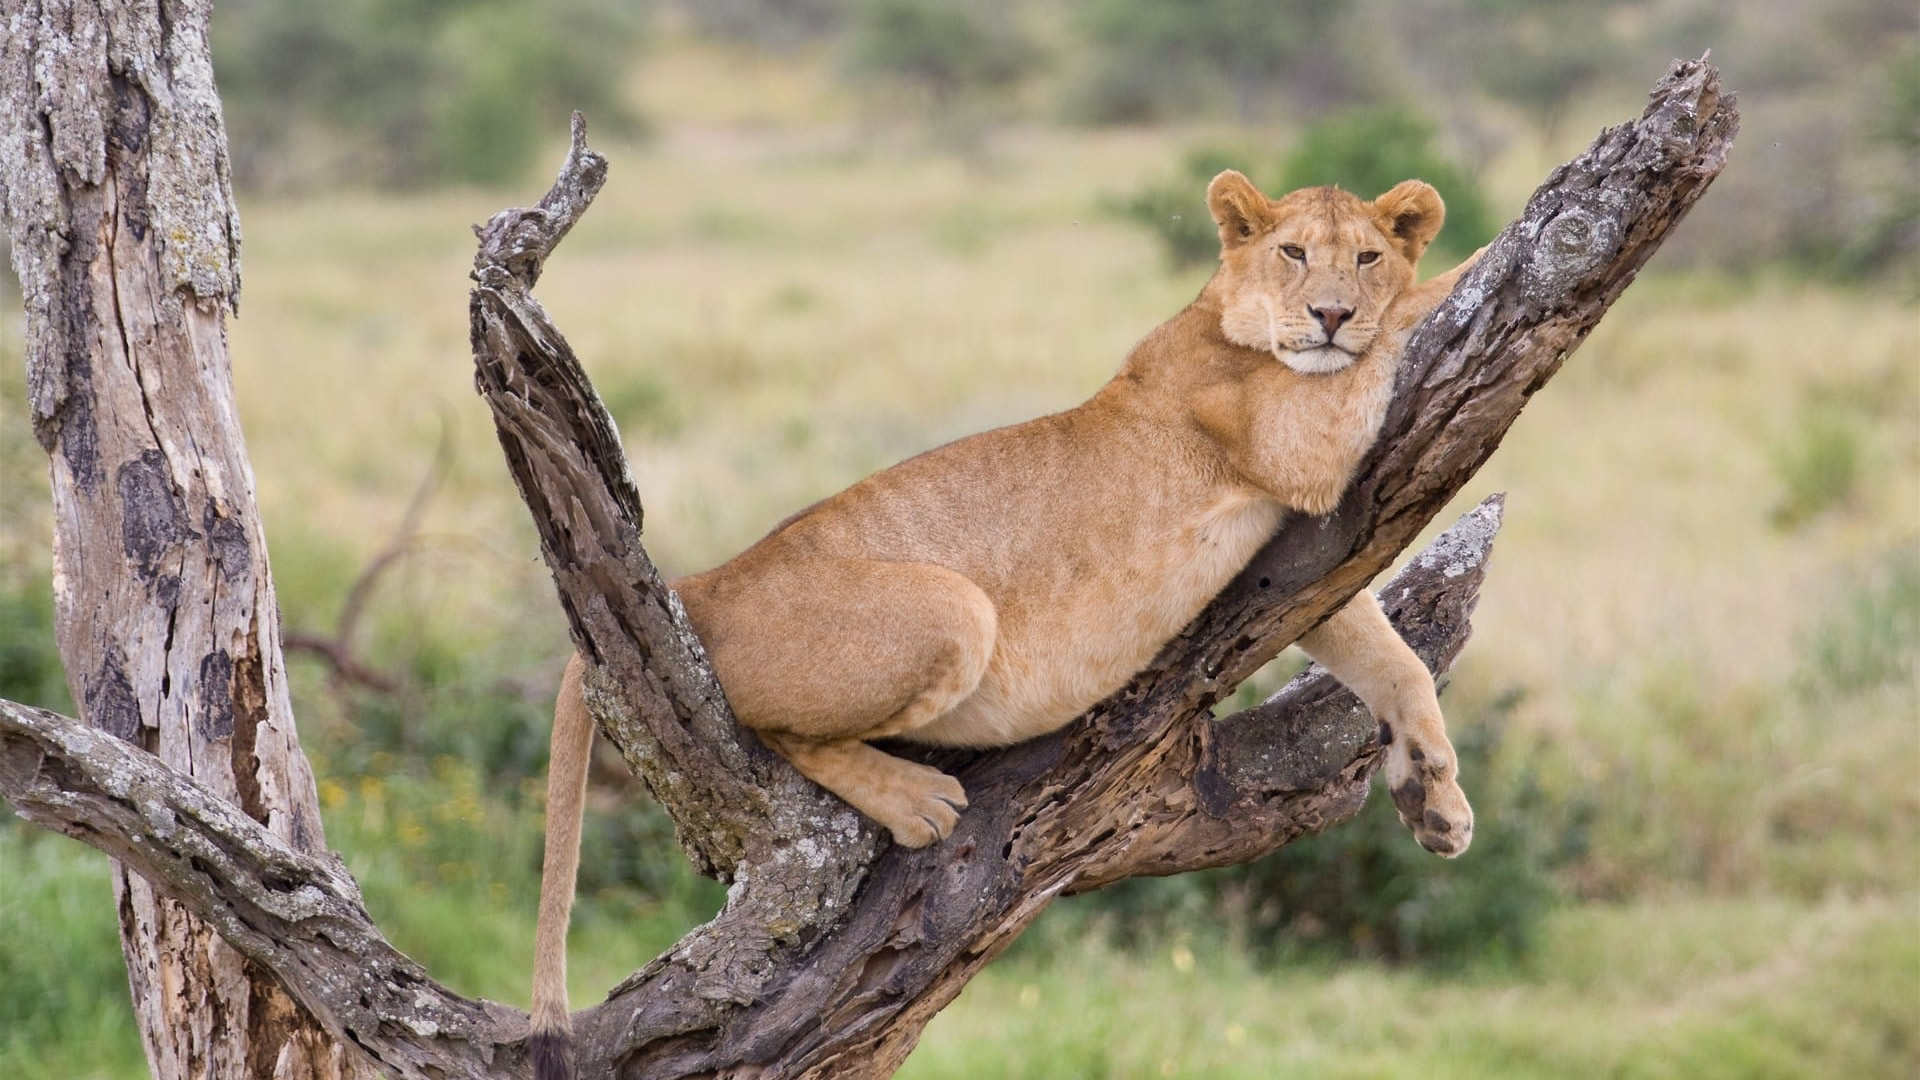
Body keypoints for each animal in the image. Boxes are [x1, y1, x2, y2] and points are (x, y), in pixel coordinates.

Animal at [526, 170, 1482, 1076]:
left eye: (1366, 257)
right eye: (1293, 253)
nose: (1332, 312)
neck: (1221, 318)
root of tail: (706, 580)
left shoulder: (1297, 557)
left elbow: (1392, 662)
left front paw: (1435, 799)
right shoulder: (1291, 438)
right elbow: (1407, 321)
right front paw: (1477, 261)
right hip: (954, 607)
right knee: (779, 729)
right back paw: (918, 801)